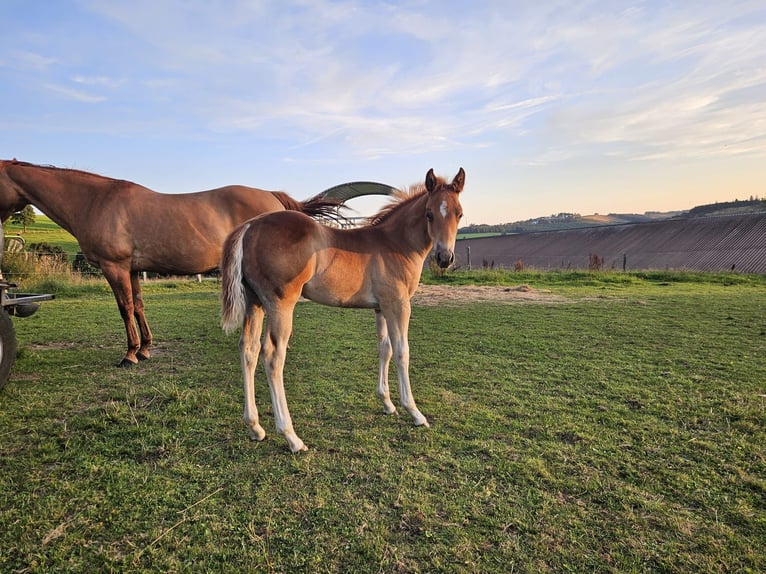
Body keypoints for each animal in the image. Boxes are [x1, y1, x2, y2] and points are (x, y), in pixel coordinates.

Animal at [0, 160, 344, 366]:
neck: (96, 201)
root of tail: (273, 197)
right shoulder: (132, 269)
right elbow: (138, 305)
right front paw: (145, 348)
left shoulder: (115, 268)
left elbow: (125, 308)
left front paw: (129, 354)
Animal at [219, 166, 464, 454]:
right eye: (429, 213)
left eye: (459, 213)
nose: (444, 258)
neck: (395, 243)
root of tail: (248, 227)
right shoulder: (398, 304)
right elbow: (402, 352)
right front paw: (414, 412)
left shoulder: (381, 308)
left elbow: (385, 349)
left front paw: (387, 403)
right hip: (280, 304)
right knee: (272, 356)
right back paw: (291, 437)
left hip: (254, 303)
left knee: (248, 350)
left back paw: (255, 427)